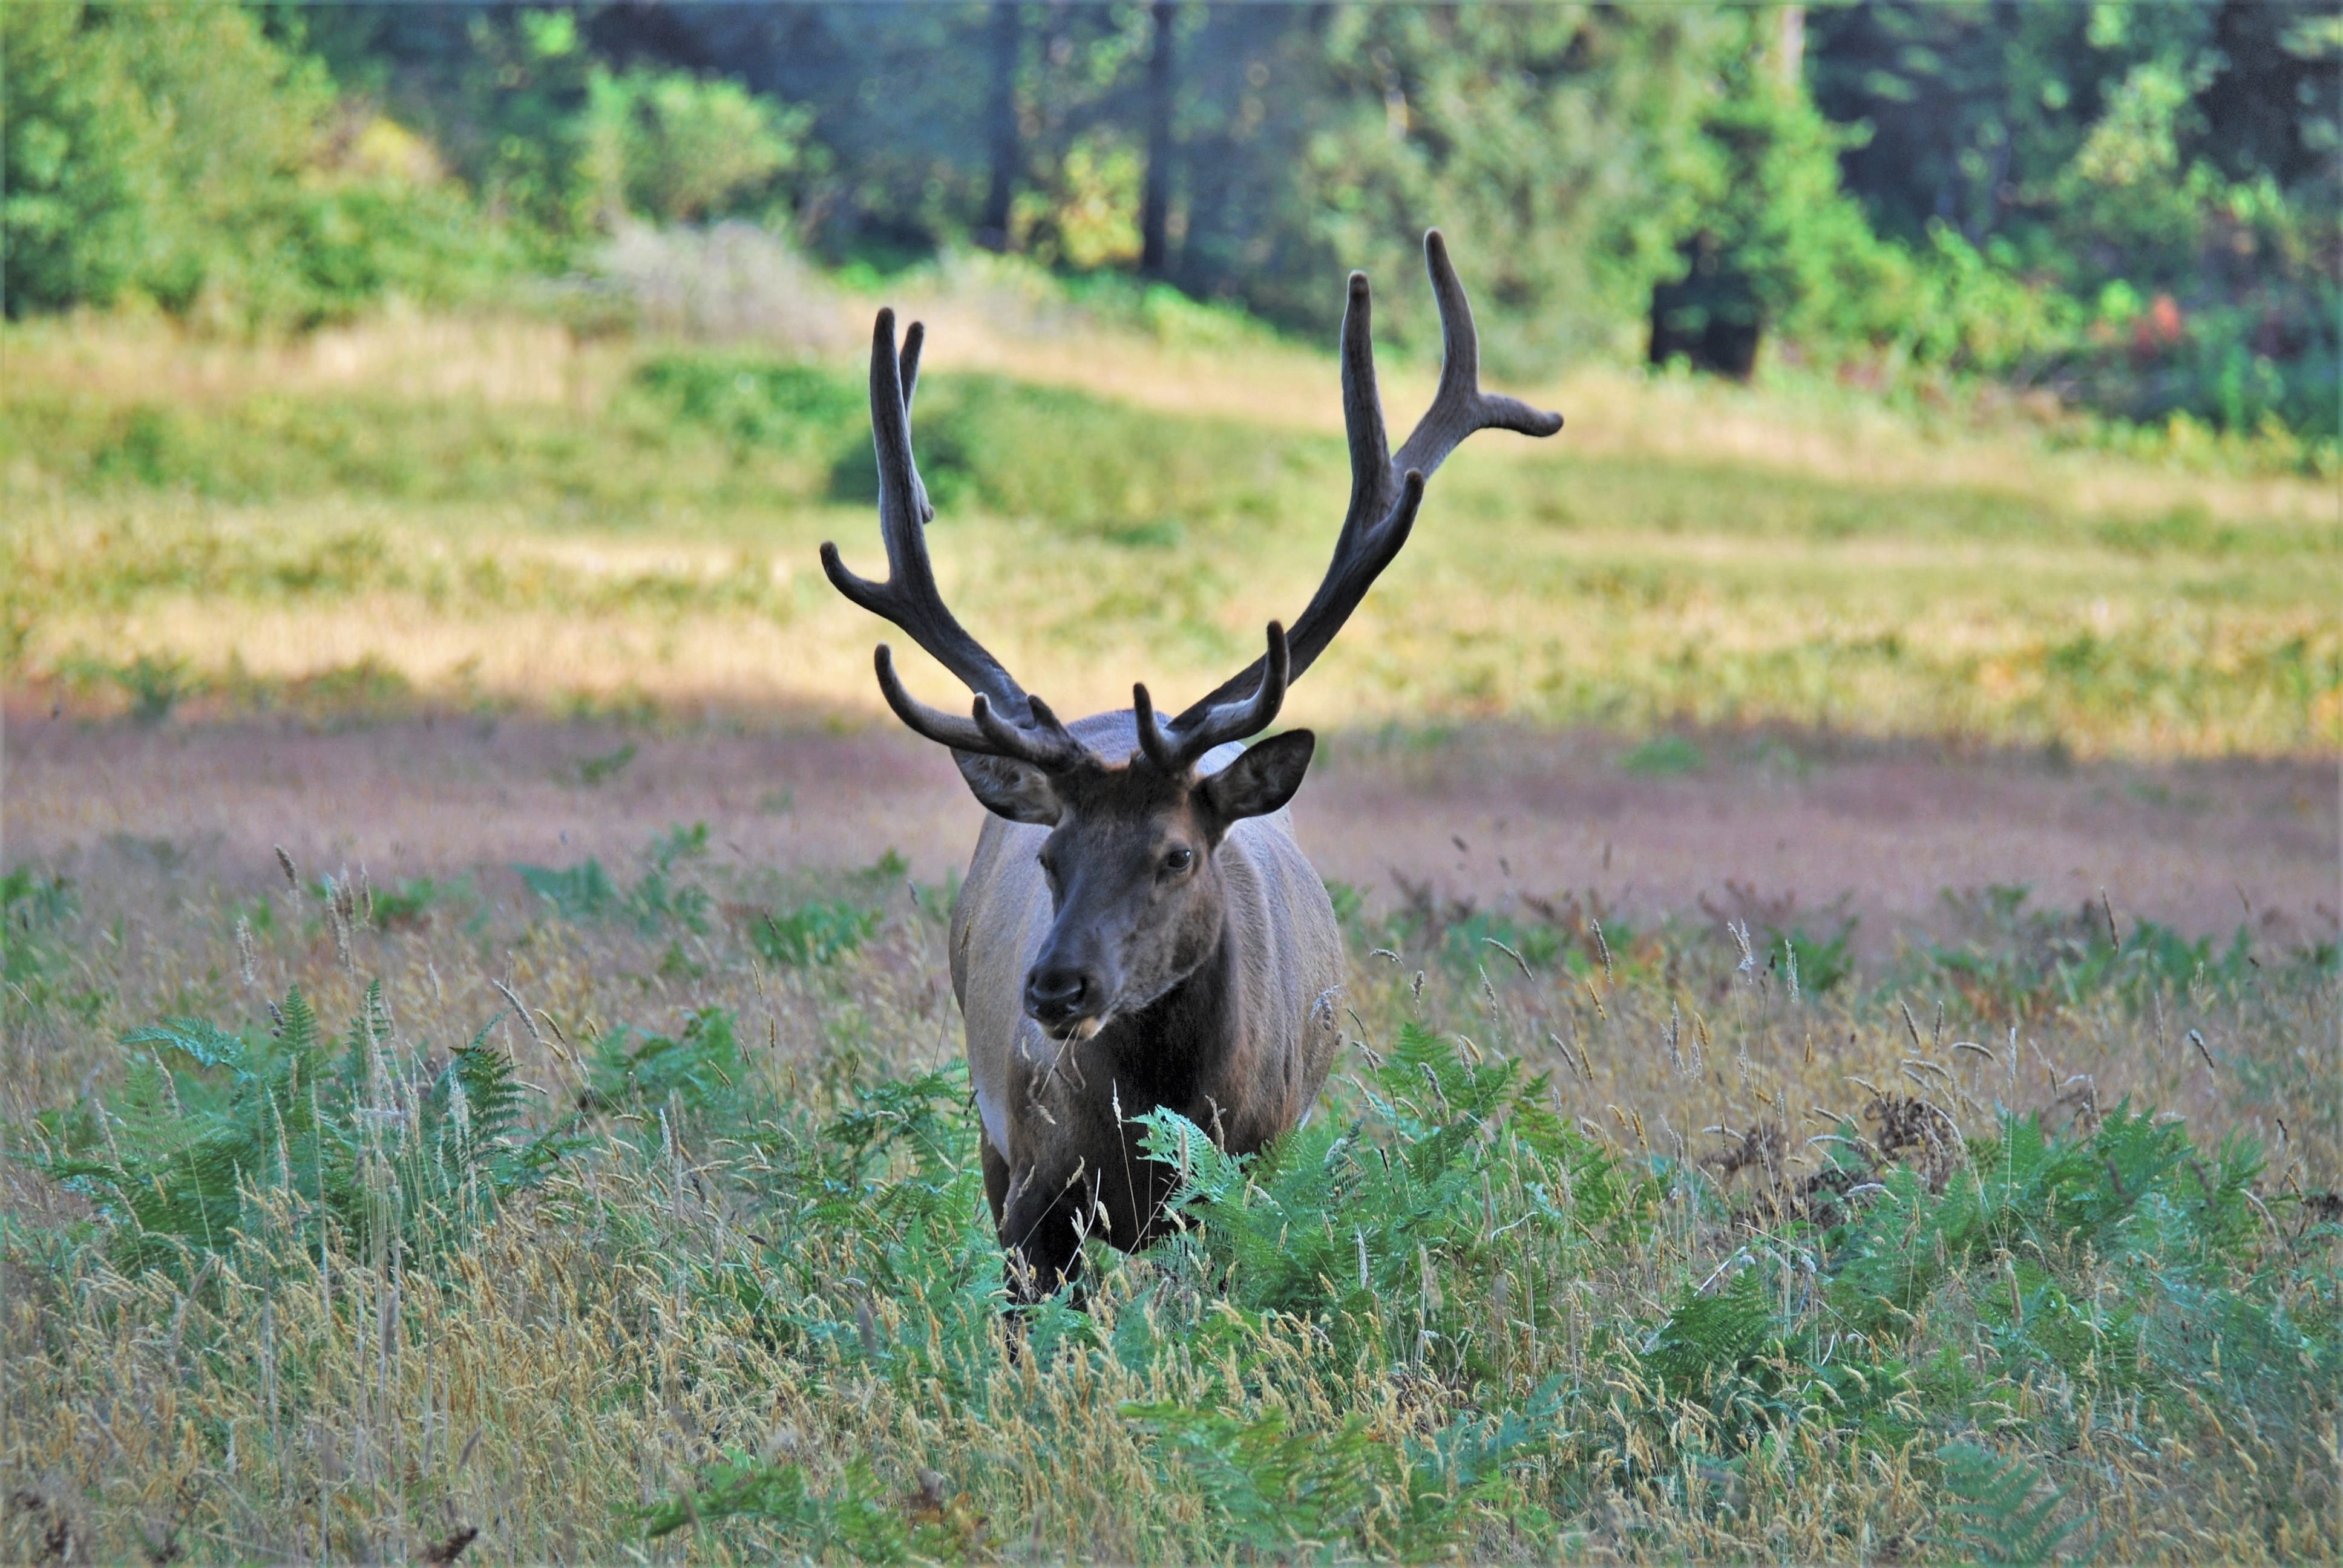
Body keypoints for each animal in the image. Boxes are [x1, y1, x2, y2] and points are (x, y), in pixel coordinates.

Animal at [821, 231, 1562, 1300]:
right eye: (1050, 857)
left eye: (1177, 854)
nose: (1056, 989)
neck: (1154, 1126)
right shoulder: (1032, 1195)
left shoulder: (1249, 1176)